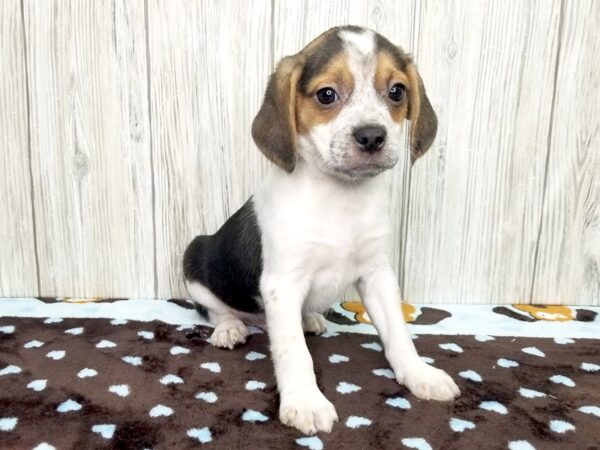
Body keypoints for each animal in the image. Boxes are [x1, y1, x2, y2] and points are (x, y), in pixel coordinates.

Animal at [183, 26, 460, 434]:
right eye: (327, 95)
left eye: (396, 91)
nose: (372, 136)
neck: (341, 196)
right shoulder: (282, 283)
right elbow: (293, 352)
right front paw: (305, 401)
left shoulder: (377, 275)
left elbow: (398, 334)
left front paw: (418, 373)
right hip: (195, 258)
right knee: (217, 310)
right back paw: (230, 328)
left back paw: (309, 318)